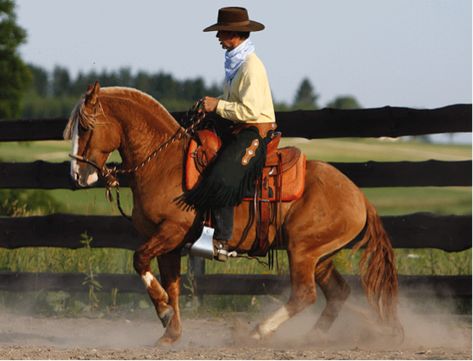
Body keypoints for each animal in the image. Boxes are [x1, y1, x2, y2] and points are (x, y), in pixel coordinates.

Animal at [64, 83, 400, 344]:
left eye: (86, 127)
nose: (78, 176)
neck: (163, 164)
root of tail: (359, 197)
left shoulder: (171, 231)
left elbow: (139, 260)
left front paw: (163, 311)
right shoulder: (167, 243)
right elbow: (172, 284)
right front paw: (170, 330)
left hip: (303, 250)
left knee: (305, 294)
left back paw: (257, 332)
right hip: (320, 256)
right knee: (337, 292)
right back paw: (313, 336)